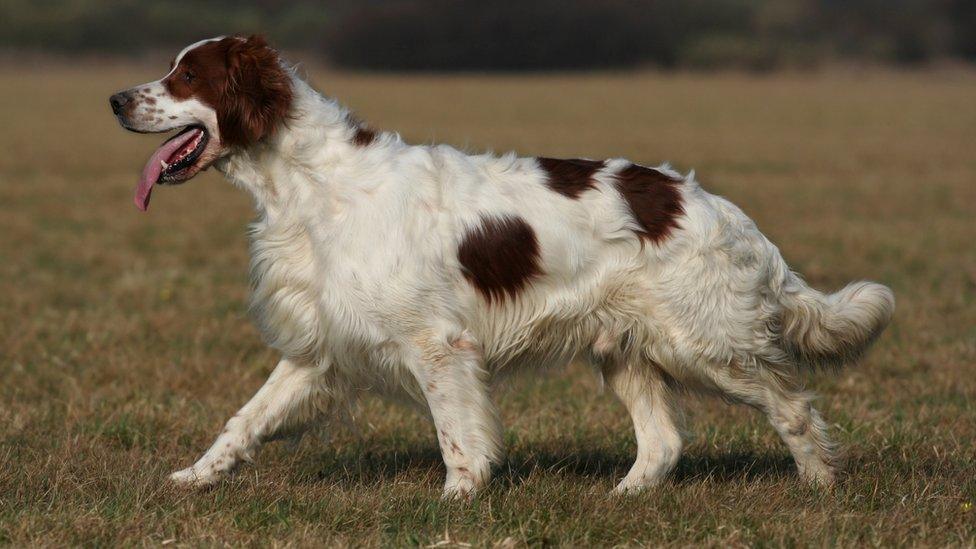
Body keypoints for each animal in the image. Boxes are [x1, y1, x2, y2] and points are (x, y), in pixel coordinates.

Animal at [110, 35, 896, 496]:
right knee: (664, 442)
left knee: (792, 407)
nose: (115, 98)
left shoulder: (437, 345)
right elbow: (243, 421)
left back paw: (821, 487)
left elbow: (459, 437)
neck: (310, 184)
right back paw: (623, 498)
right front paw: (192, 477)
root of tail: (722, 210)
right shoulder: (321, 347)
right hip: (628, 350)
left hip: (705, 343)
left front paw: (456, 504)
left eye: (185, 75)